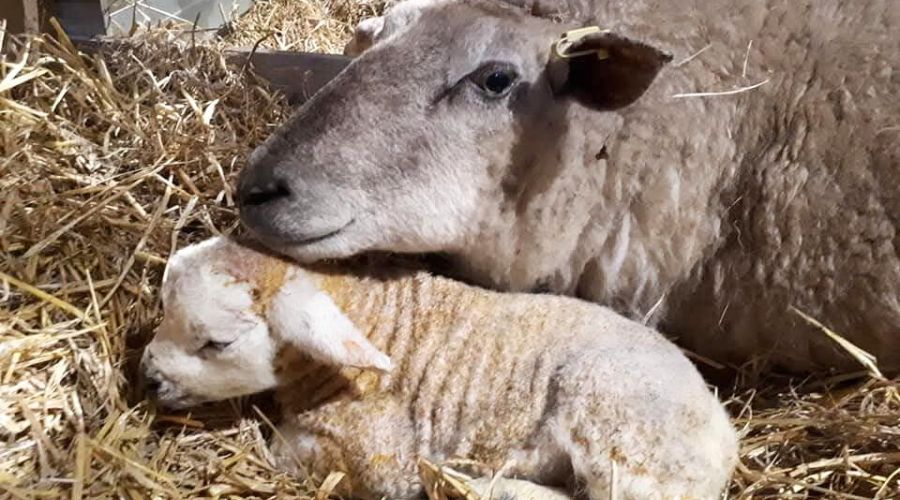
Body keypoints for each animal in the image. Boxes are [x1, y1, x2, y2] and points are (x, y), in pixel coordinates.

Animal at [142, 236, 740, 498]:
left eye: (216, 343)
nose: (147, 377)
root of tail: (725, 436)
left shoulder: (378, 455)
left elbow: (284, 451)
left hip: (613, 418)